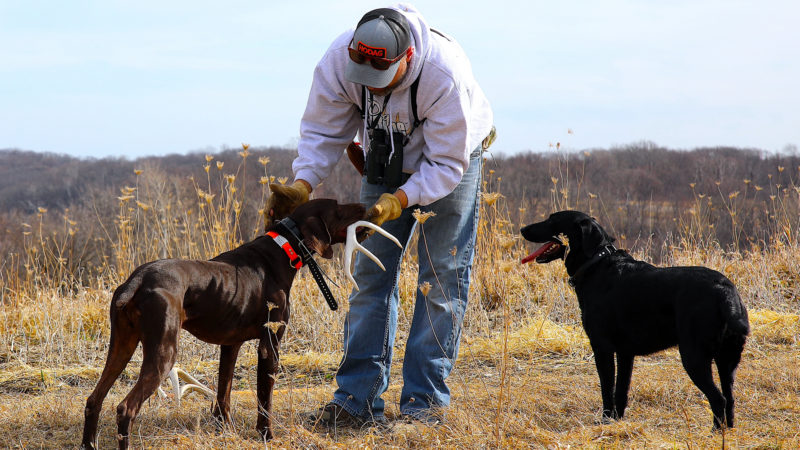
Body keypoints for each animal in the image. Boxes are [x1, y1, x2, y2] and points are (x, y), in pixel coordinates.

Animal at [81, 199, 366, 448]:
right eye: (338, 207)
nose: (364, 205)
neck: (283, 246)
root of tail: (137, 278)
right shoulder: (269, 345)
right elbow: (265, 400)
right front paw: (267, 435)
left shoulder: (230, 346)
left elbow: (223, 394)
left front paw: (225, 429)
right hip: (164, 354)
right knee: (125, 408)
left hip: (121, 347)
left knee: (94, 399)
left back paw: (88, 444)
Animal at [520, 211, 752, 428]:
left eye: (552, 220)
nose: (522, 229)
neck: (597, 264)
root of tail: (726, 290)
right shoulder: (625, 353)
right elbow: (621, 391)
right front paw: (617, 421)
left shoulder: (602, 347)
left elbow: (607, 389)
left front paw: (605, 421)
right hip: (727, 359)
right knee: (730, 399)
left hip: (693, 355)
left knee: (719, 399)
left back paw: (715, 433)